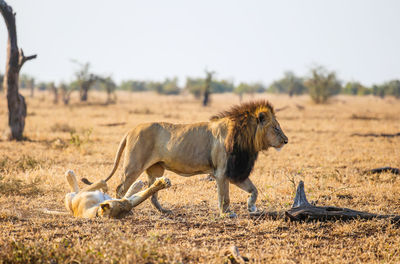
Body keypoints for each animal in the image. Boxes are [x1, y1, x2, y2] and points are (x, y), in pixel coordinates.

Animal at [82, 100, 288, 218]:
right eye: (276, 128)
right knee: (120, 188)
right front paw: (226, 213)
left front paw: (251, 207)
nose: (286, 140)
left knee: (153, 192)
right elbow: (224, 196)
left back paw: (164, 211)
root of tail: (130, 130)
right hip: (134, 165)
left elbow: (254, 190)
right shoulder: (222, 172)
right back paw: (126, 210)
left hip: (156, 169)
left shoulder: (236, 171)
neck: (246, 141)